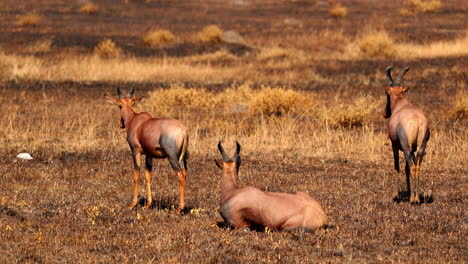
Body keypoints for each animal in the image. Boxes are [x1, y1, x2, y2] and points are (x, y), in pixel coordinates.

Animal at [384, 66, 432, 204]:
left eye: (386, 93)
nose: (385, 113)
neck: (401, 104)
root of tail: (416, 121)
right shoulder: (414, 149)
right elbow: (406, 169)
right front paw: (410, 192)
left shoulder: (395, 145)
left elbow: (397, 167)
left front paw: (395, 195)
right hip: (420, 147)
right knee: (417, 168)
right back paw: (416, 198)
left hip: (406, 148)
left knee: (412, 167)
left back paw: (413, 200)